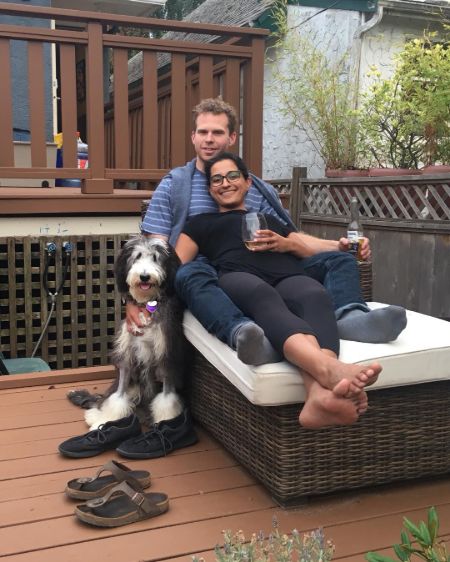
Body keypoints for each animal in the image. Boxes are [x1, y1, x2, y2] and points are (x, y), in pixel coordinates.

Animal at [68, 236, 187, 430]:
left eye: (156, 257)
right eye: (137, 256)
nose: (144, 276)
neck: (146, 305)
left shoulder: (167, 357)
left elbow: (166, 399)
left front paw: (165, 424)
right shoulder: (127, 356)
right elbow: (118, 396)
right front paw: (105, 420)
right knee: (105, 398)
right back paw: (96, 415)